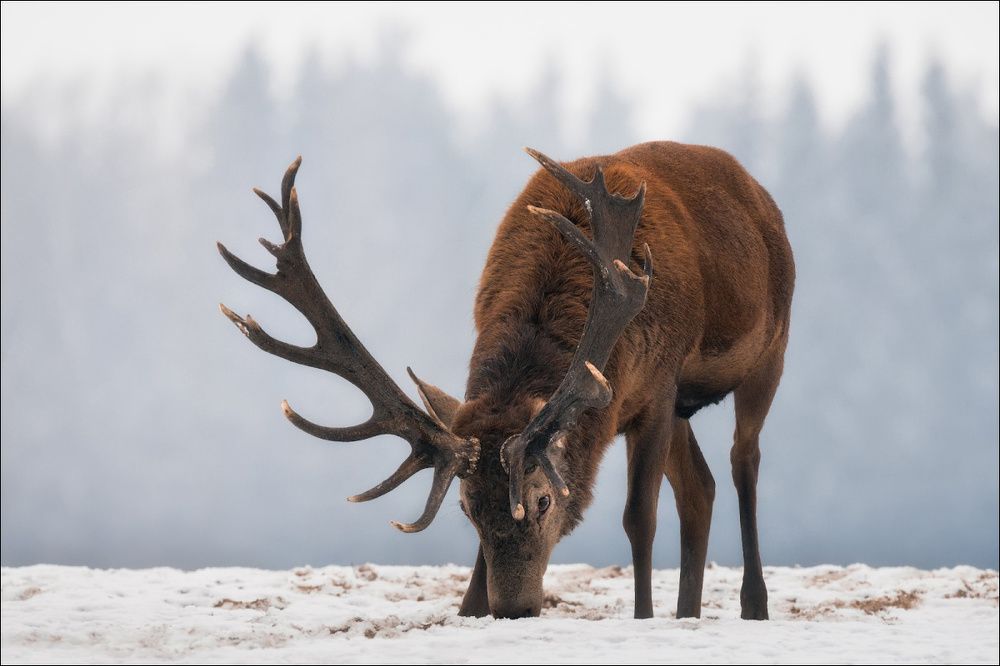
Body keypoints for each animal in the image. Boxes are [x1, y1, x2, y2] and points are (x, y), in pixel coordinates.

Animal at [218, 141, 794, 621]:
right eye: (467, 507)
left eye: (543, 501)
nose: (514, 609)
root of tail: (761, 196)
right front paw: (471, 606)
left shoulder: (657, 388)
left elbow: (639, 517)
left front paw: (644, 616)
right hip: (686, 408)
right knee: (701, 488)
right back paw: (689, 613)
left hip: (771, 349)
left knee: (743, 461)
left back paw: (754, 605)